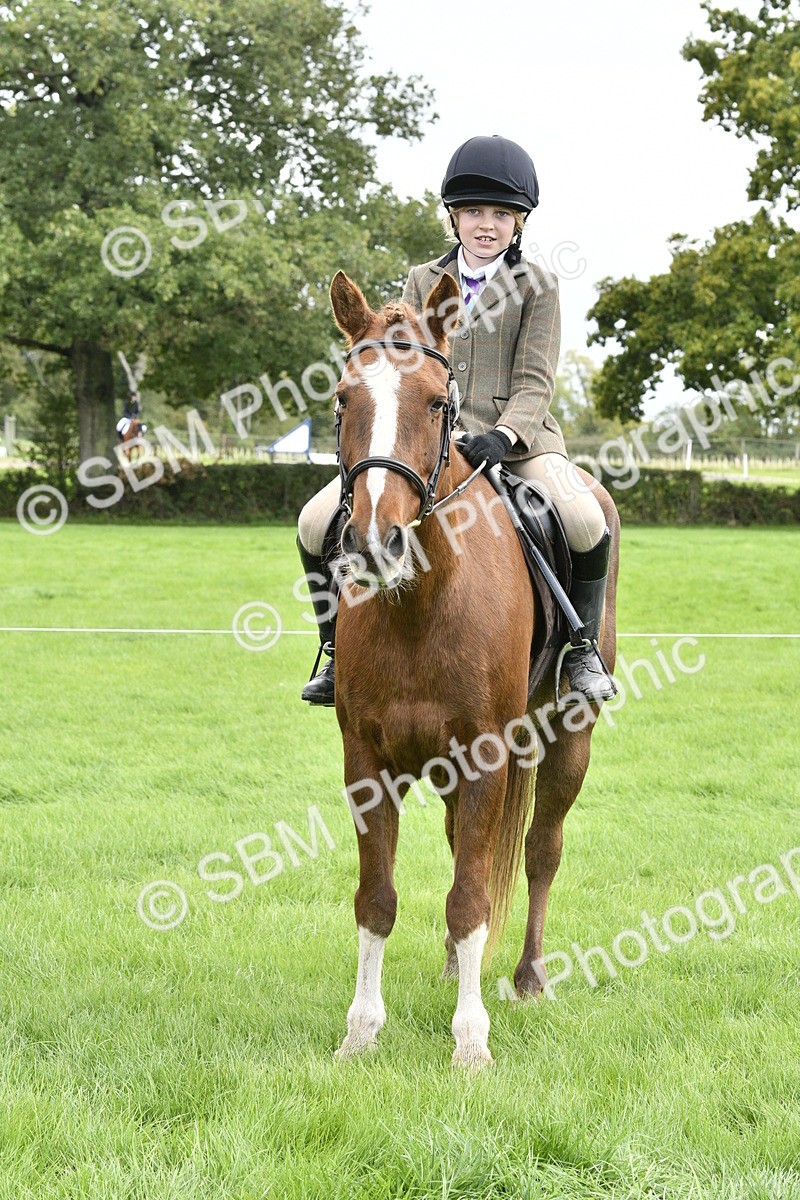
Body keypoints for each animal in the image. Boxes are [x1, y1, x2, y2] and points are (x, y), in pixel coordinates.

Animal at [327, 269, 619, 1068]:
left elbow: (472, 895)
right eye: (343, 398)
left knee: (541, 851)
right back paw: (460, 969)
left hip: (568, 734)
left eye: (437, 401)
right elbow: (377, 898)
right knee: (470, 847)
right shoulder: (367, 761)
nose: (375, 544)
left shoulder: (488, 753)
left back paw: (525, 978)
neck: (420, 602)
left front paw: (470, 1043)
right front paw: (361, 1032)